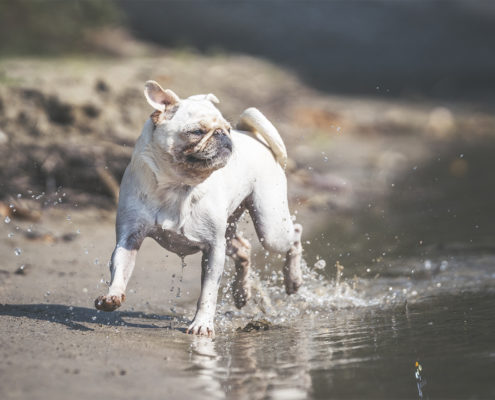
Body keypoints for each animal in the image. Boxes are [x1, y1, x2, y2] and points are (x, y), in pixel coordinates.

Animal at [93, 82, 302, 338]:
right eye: (197, 132)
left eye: (226, 129)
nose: (224, 135)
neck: (178, 185)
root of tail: (251, 135)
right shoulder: (129, 238)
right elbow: (120, 268)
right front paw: (112, 296)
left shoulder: (213, 249)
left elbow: (208, 293)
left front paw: (202, 324)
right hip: (231, 232)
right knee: (244, 248)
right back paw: (241, 293)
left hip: (270, 227)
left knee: (295, 234)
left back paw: (292, 280)